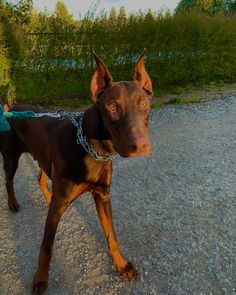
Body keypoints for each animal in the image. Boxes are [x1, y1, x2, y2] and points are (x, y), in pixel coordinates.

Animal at [0, 49, 153, 294]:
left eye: (144, 103)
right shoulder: (61, 203)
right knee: (8, 180)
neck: (92, 149)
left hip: (43, 158)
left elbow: (112, 236)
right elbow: (46, 247)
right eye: (112, 106)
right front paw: (40, 279)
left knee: (40, 178)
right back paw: (13, 203)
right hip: (11, 157)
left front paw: (121, 265)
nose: (141, 146)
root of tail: (10, 107)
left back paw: (47, 196)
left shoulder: (102, 195)